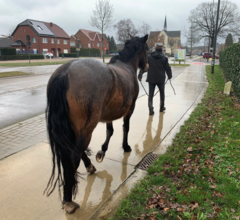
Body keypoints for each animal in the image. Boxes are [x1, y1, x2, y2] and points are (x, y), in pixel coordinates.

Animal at [43, 34, 148, 213]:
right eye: (147, 49)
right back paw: (69, 200)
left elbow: (110, 131)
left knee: (75, 151)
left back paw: (89, 167)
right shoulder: (130, 109)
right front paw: (124, 147)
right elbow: (124, 128)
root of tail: (65, 72)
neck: (126, 66)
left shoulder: (108, 115)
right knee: (74, 155)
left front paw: (101, 152)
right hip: (87, 129)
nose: (146, 67)